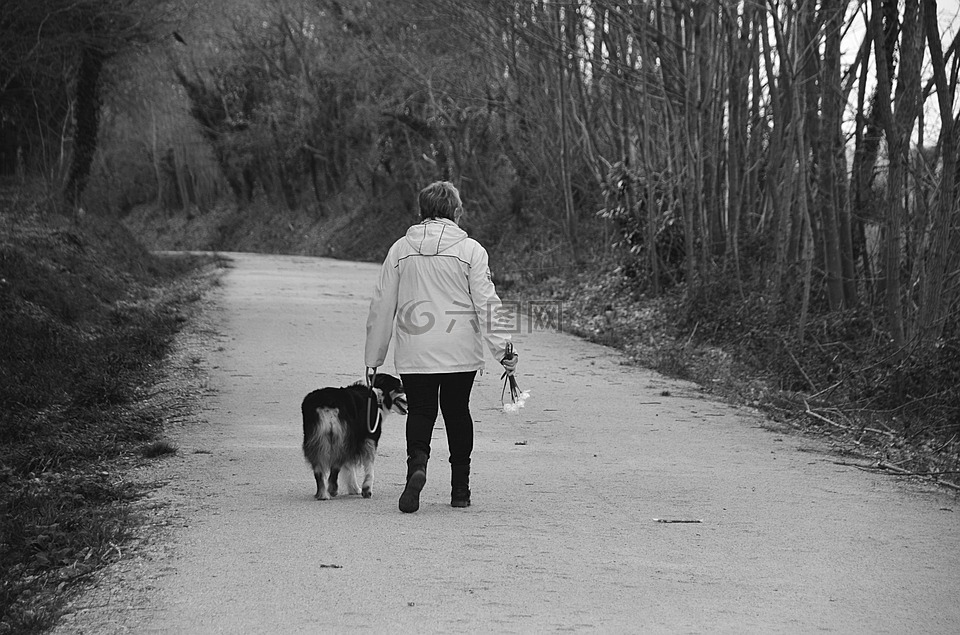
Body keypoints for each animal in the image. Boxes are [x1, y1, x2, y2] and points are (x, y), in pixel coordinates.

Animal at [300, 372, 404, 502]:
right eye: (400, 387)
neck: (377, 393)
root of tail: (327, 400)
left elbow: (350, 468)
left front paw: (353, 489)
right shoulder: (369, 438)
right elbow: (369, 468)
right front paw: (366, 490)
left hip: (316, 439)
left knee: (319, 470)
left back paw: (323, 494)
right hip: (342, 439)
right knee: (335, 466)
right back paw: (332, 490)